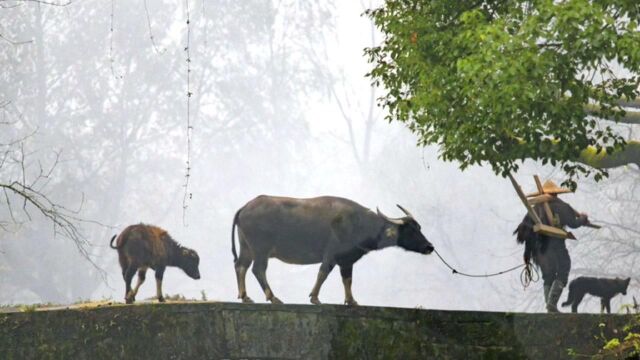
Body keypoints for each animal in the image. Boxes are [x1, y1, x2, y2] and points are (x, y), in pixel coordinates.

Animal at [231, 195, 436, 306]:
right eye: (411, 230)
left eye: (419, 227)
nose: (430, 247)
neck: (359, 223)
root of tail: (245, 207)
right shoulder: (331, 254)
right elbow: (323, 272)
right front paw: (314, 298)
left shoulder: (347, 260)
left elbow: (348, 279)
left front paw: (351, 301)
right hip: (261, 249)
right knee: (258, 269)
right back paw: (273, 298)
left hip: (246, 248)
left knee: (241, 266)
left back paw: (245, 297)